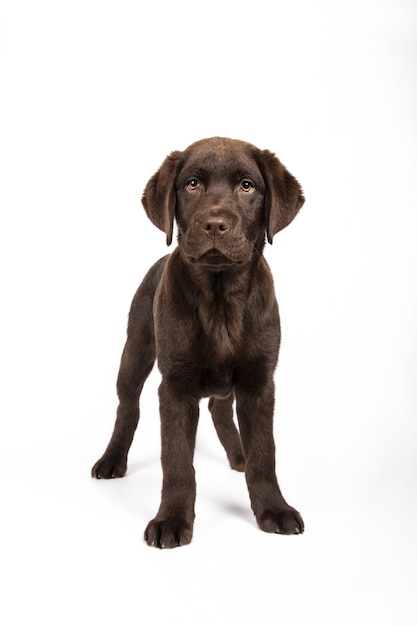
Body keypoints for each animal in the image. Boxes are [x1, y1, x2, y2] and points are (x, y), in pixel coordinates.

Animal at [91, 138, 304, 544]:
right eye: (192, 184)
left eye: (247, 186)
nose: (215, 225)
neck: (220, 298)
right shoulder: (174, 385)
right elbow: (176, 461)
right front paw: (172, 520)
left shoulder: (259, 382)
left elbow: (264, 455)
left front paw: (274, 509)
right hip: (136, 350)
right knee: (127, 408)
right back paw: (111, 460)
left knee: (220, 408)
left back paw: (238, 455)